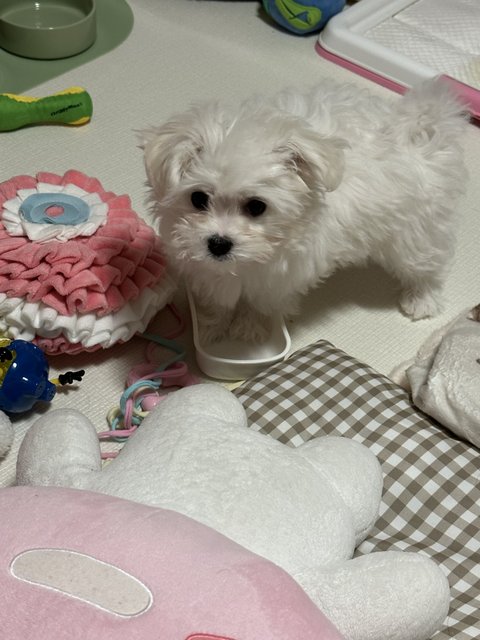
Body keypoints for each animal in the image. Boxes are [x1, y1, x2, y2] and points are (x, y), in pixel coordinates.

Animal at [142, 79, 468, 343]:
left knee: (427, 266)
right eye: (198, 199)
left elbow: (259, 303)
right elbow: (220, 298)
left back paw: (422, 300)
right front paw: (212, 325)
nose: (218, 244)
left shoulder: (279, 278)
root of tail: (421, 129)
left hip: (415, 231)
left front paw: (249, 328)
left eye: (257, 207)